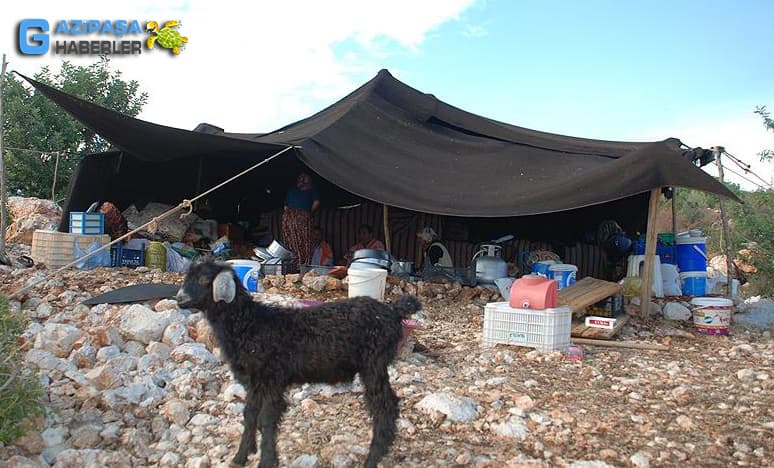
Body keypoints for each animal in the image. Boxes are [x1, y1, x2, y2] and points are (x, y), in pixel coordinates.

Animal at [175, 260, 422, 468]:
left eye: (204, 280)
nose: (179, 299)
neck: (250, 324)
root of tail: (393, 311)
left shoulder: (273, 378)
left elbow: (266, 419)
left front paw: (267, 461)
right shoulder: (255, 382)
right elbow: (250, 415)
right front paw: (241, 456)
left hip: (373, 364)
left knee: (384, 406)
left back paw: (373, 457)